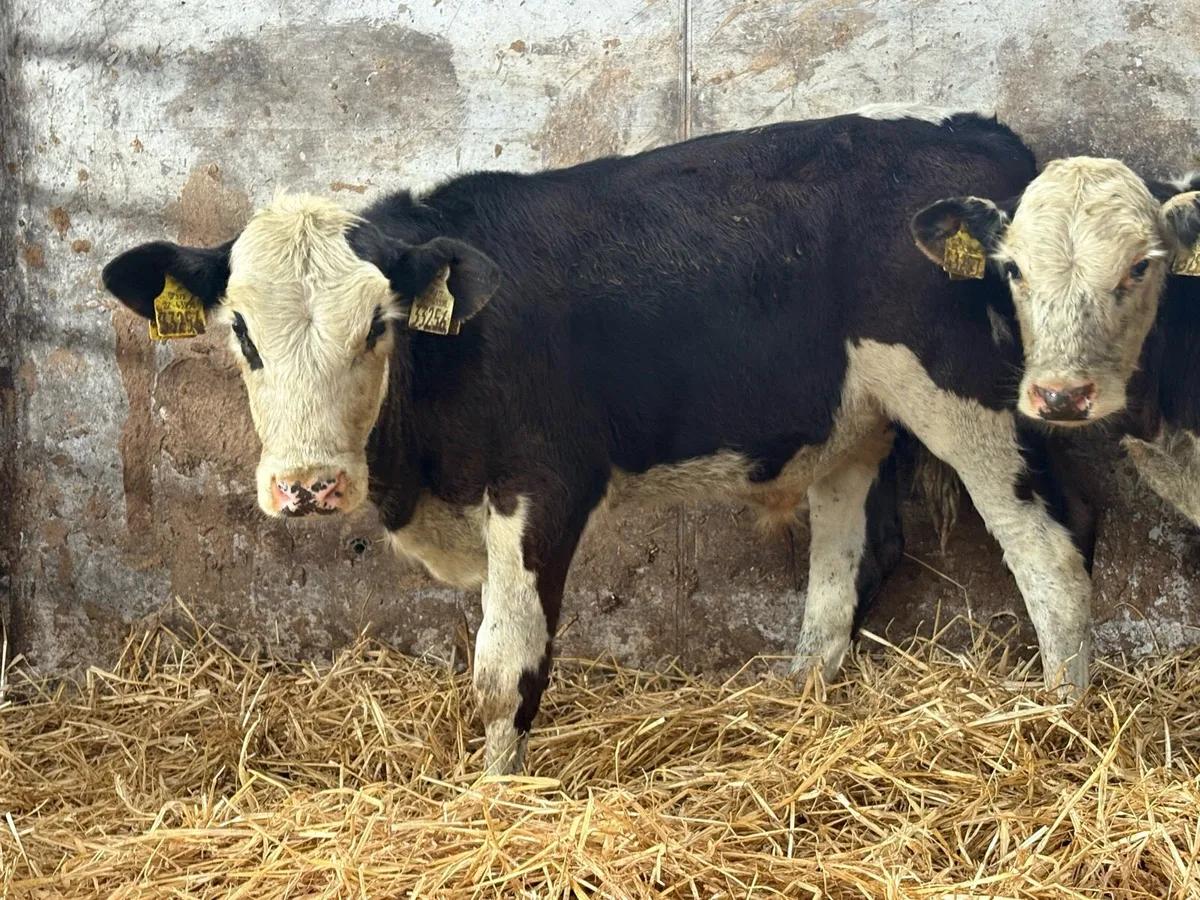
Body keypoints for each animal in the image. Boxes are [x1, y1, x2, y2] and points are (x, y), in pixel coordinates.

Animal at [104, 105, 1108, 775]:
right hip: (850, 422)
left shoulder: (545, 484)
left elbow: (504, 665)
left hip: (974, 398)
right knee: (849, 564)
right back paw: (798, 710)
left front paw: (492, 799)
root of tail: (972, 136)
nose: (308, 485)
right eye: (242, 333)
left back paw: (1064, 727)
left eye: (376, 329)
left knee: (1052, 550)